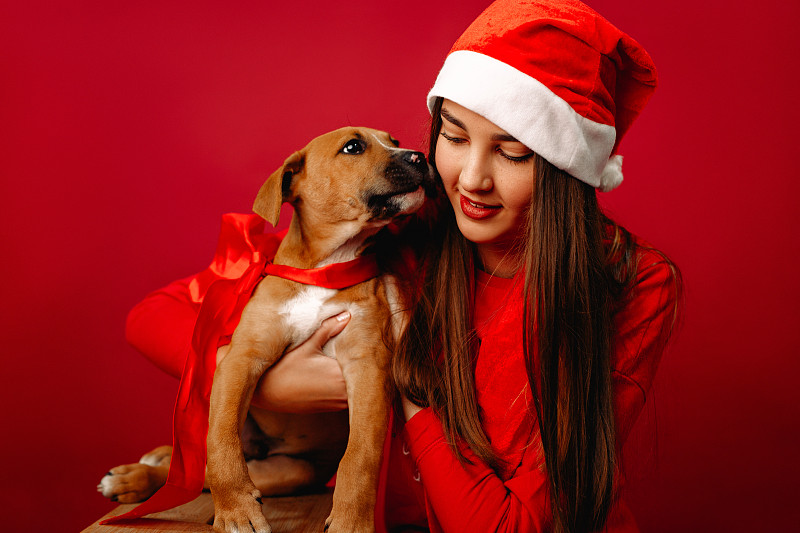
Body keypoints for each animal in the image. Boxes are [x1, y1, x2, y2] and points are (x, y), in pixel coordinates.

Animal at [100, 129, 432, 532]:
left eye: (393, 141)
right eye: (353, 147)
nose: (419, 157)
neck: (323, 267)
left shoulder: (368, 367)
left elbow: (361, 455)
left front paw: (351, 522)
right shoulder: (242, 358)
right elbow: (221, 439)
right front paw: (237, 512)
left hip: (290, 471)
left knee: (202, 476)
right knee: (201, 465)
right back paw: (136, 476)